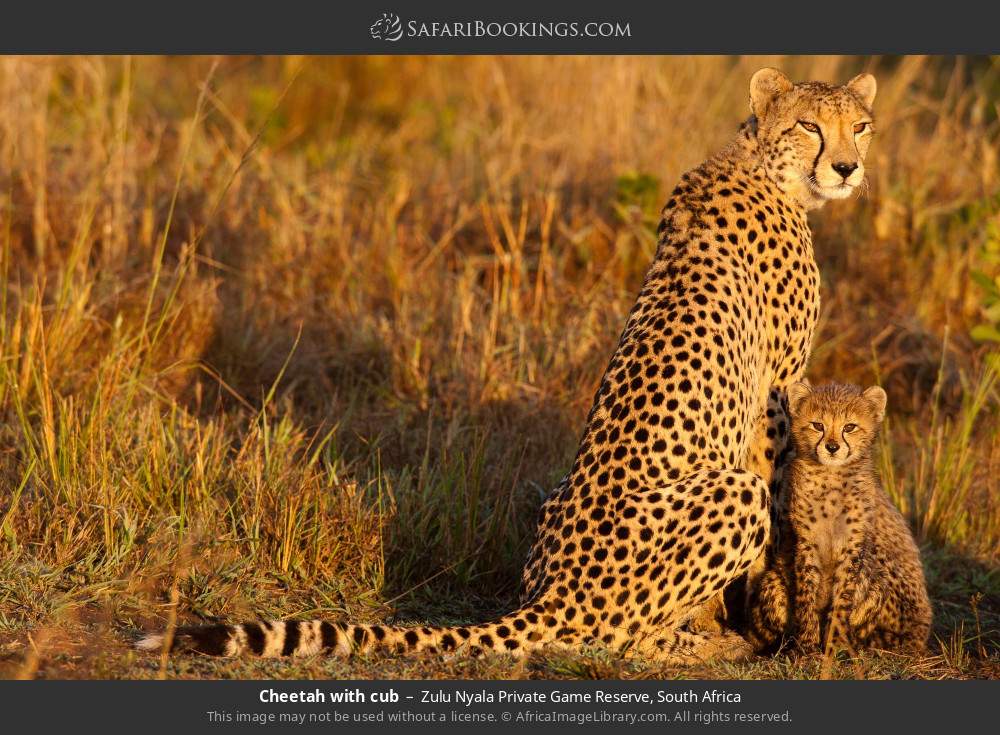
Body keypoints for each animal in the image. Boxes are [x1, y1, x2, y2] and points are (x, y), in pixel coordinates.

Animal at [137, 68, 878, 661]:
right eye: (810, 126)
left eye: (861, 127)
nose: (847, 168)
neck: (759, 161)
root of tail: (550, 596)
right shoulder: (775, 397)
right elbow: (779, 500)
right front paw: (759, 617)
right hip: (726, 495)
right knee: (621, 637)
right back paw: (699, 647)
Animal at [747, 381, 932, 654]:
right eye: (818, 425)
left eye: (849, 427)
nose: (832, 447)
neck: (831, 477)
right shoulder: (806, 543)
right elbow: (806, 597)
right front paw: (808, 645)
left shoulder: (852, 546)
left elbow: (842, 600)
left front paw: (833, 646)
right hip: (773, 584)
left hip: (876, 586)